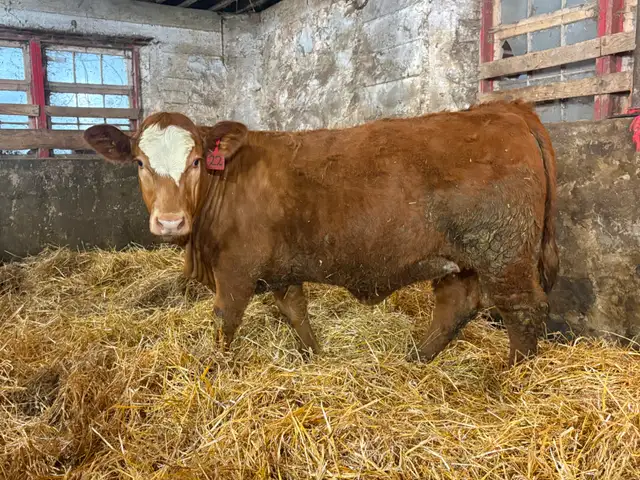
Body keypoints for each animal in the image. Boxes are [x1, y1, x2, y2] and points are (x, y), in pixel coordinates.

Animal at [84, 99, 558, 365]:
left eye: (197, 160)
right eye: (139, 162)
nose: (169, 221)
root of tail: (504, 109)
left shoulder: (236, 267)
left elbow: (225, 320)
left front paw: (212, 370)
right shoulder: (281, 266)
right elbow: (295, 312)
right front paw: (314, 356)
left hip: (505, 253)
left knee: (524, 311)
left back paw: (510, 381)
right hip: (462, 259)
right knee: (456, 306)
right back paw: (415, 361)